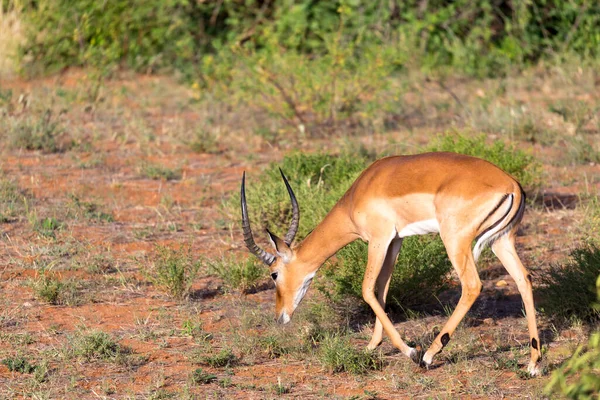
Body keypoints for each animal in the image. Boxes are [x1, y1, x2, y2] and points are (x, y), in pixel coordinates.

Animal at [240, 152, 544, 376]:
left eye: (273, 274)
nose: (279, 317)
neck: (359, 193)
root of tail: (512, 186)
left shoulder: (378, 239)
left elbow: (366, 289)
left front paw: (410, 351)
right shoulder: (395, 241)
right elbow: (382, 290)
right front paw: (371, 346)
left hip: (455, 240)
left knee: (472, 285)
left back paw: (429, 356)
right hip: (501, 241)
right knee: (524, 278)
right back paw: (533, 364)